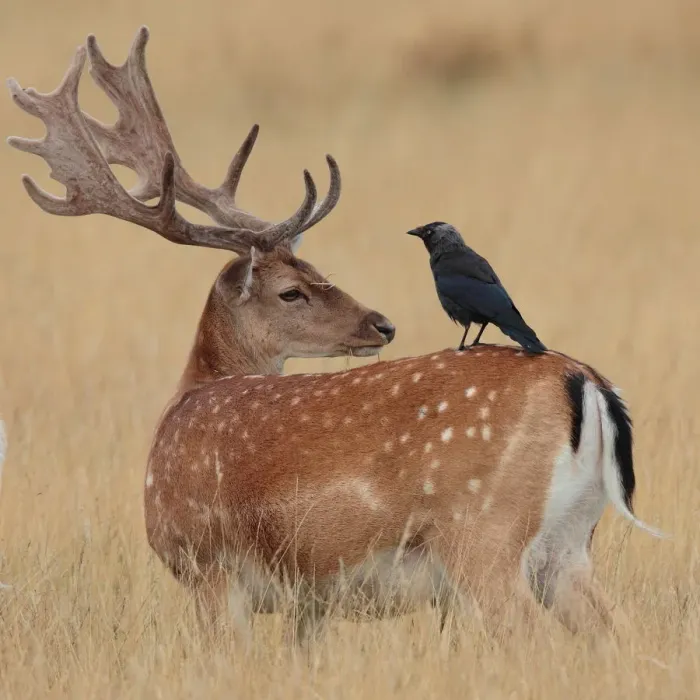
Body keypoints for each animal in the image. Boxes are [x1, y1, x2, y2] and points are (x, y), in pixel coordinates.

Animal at [8, 26, 663, 650]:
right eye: (294, 288)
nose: (381, 323)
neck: (186, 400)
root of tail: (588, 384)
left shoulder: (208, 567)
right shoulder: (311, 599)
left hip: (483, 536)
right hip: (569, 548)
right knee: (620, 635)